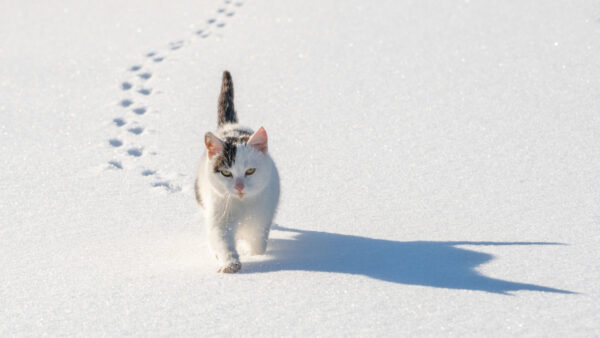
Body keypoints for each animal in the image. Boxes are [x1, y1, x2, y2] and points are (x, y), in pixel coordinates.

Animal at [197, 70, 282, 274]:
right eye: (226, 173)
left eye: (250, 171)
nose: (240, 186)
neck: (242, 205)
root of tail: (229, 126)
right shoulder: (219, 216)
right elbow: (221, 240)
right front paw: (230, 263)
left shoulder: (261, 217)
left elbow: (258, 244)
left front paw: (257, 256)